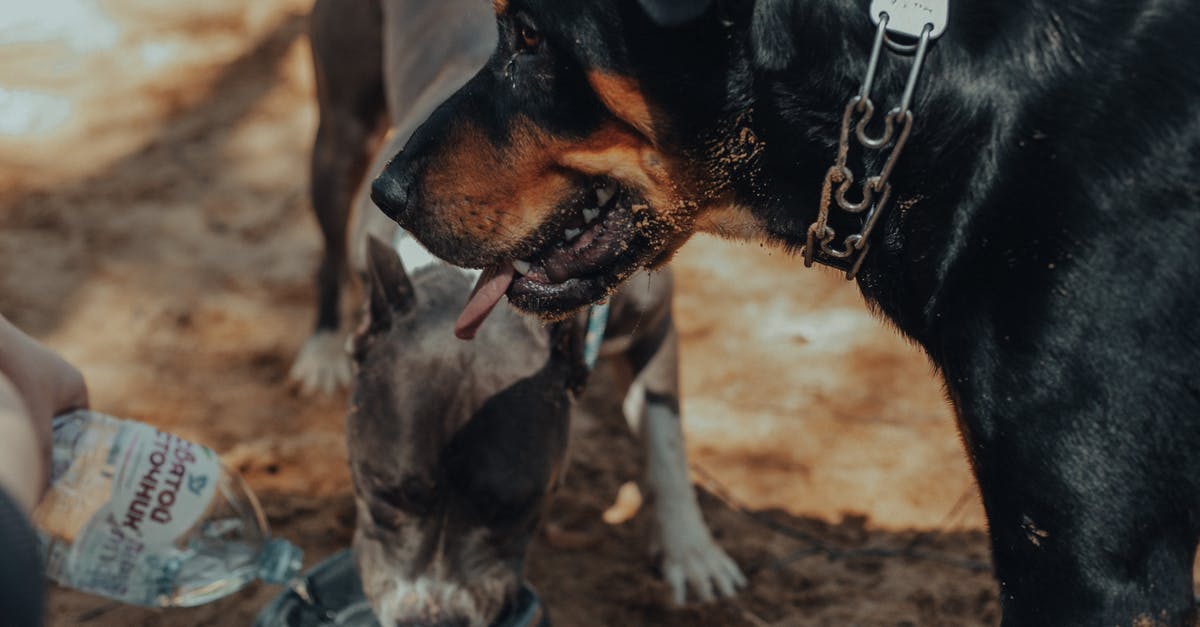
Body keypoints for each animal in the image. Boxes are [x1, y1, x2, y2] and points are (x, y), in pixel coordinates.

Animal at [290, 1, 739, 619]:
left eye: (512, 510)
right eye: (383, 495)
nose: (433, 618)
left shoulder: (652, 321)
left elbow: (665, 435)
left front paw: (691, 552)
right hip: (341, 129)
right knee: (331, 241)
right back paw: (323, 347)